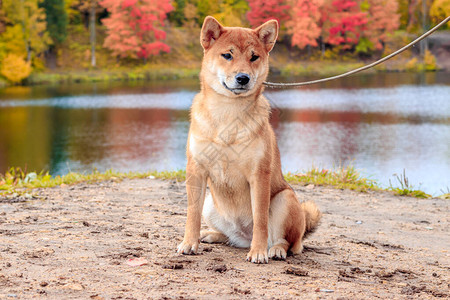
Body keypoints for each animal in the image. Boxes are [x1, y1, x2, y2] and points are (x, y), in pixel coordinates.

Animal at [178, 16, 322, 264]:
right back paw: (211, 235)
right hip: (211, 203)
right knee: (229, 236)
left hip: (285, 199)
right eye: (227, 55)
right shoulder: (196, 170)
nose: (243, 78)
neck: (228, 113)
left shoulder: (259, 175)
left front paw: (258, 251)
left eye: (254, 57)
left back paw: (274, 250)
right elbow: (192, 214)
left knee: (287, 241)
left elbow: (261, 220)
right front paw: (189, 243)